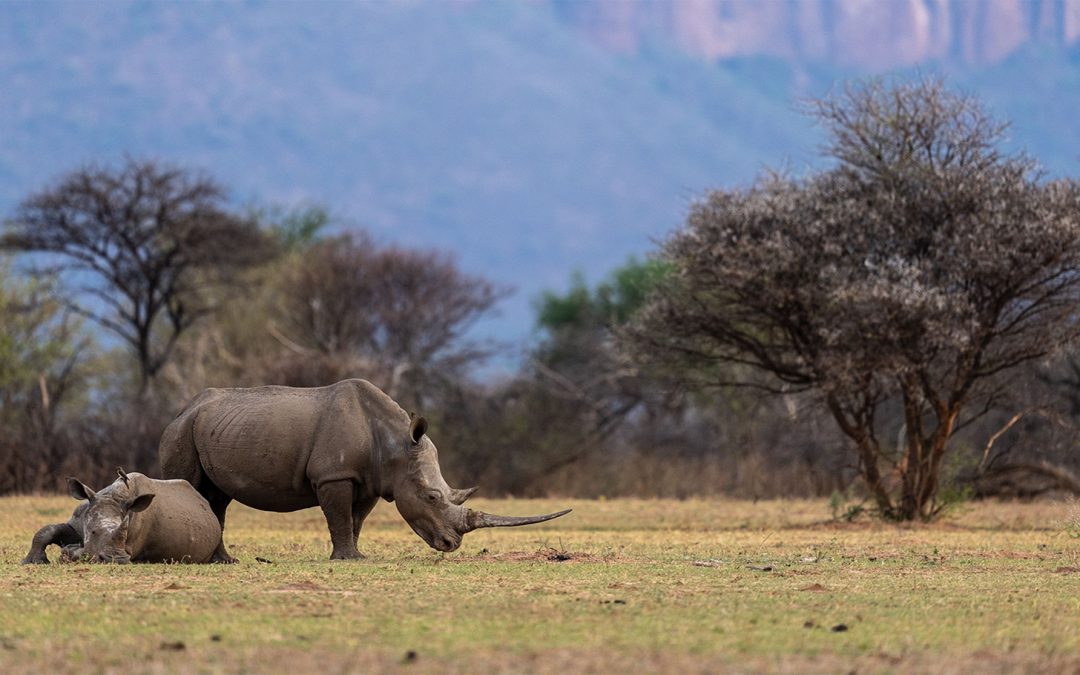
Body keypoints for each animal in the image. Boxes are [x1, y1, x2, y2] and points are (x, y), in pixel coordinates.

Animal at [22, 468, 223, 564]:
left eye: (124, 536)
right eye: (92, 532)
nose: (116, 560)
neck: (113, 497)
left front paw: (67, 553)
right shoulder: (77, 522)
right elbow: (47, 530)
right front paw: (33, 562)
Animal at [159, 379, 570, 561]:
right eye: (432, 496)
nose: (451, 546)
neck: (396, 446)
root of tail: (182, 409)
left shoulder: (371, 481)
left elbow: (356, 519)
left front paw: (357, 555)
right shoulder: (333, 474)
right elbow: (339, 516)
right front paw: (347, 560)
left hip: (209, 428)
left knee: (217, 498)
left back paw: (224, 561)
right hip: (182, 431)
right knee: (193, 488)